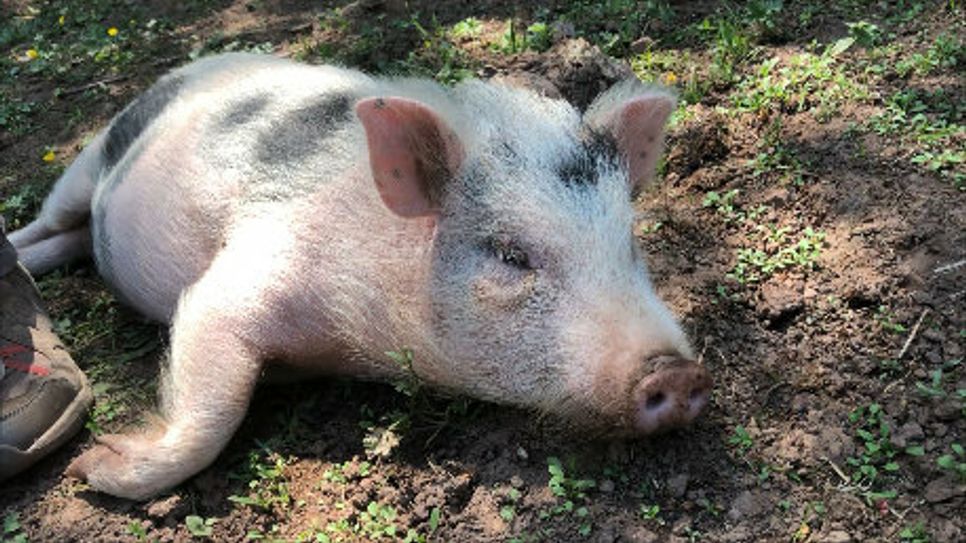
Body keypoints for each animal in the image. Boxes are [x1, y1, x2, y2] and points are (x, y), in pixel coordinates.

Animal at [9, 53, 712, 500]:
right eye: (511, 255)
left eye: (628, 243)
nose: (678, 373)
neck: (354, 345)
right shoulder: (241, 275)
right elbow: (212, 401)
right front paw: (92, 469)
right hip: (88, 158)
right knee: (47, 223)